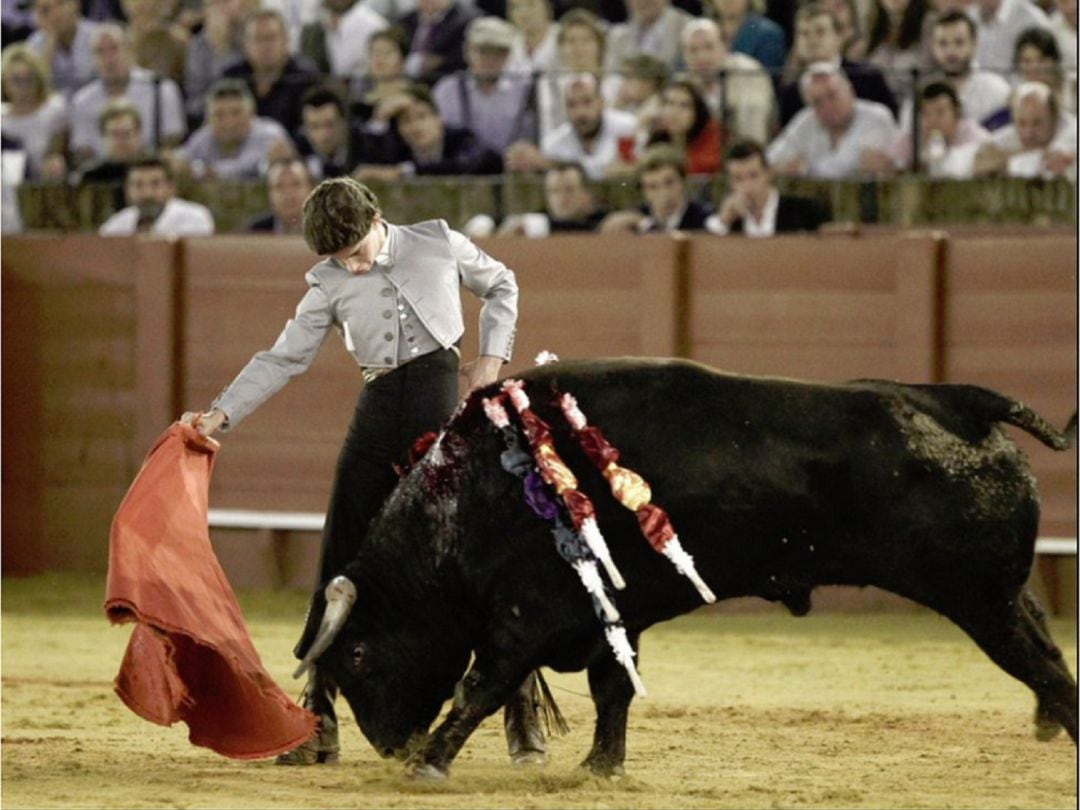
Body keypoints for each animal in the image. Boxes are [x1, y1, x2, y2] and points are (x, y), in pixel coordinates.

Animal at [308, 358, 1075, 777]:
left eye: (360, 655)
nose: (391, 746)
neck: (474, 494)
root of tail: (958, 400)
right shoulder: (611, 618)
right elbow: (612, 691)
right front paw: (600, 768)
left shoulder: (529, 615)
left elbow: (483, 685)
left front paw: (431, 764)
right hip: (1001, 593)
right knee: (1045, 645)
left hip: (980, 599)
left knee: (1045, 665)